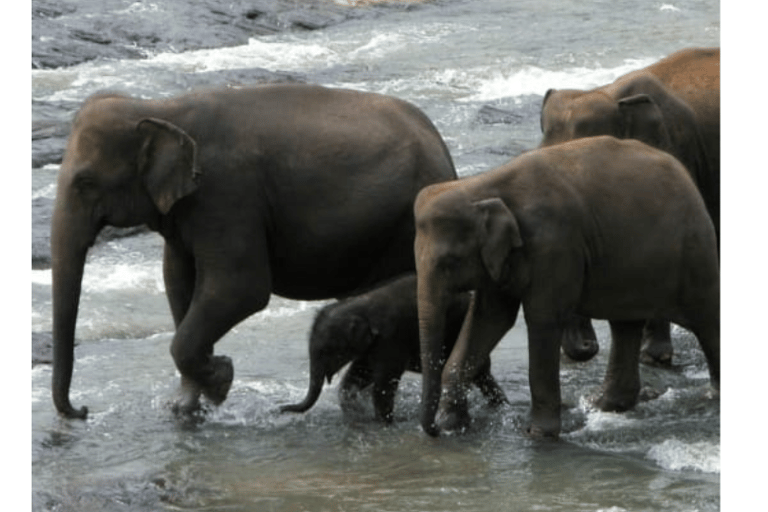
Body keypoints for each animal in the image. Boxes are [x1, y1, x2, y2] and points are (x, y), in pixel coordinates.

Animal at [49, 85, 456, 420]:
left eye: (85, 182)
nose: (82, 410)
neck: (160, 107)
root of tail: (444, 153)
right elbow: (178, 283)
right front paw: (185, 407)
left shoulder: (227, 192)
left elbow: (240, 289)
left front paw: (220, 380)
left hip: (402, 226)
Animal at [280, 274, 508, 422]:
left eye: (326, 351)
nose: (281, 409)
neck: (360, 305)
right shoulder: (373, 346)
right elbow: (359, 375)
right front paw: (355, 410)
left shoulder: (392, 339)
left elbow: (382, 386)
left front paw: (386, 422)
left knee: (478, 375)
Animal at [414, 134, 720, 438]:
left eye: (450, 262)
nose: (433, 431)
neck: (481, 185)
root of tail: (685, 177)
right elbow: (489, 318)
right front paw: (453, 425)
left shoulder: (554, 246)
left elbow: (542, 319)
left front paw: (538, 434)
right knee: (625, 324)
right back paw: (603, 405)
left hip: (694, 253)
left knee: (705, 318)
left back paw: (712, 396)